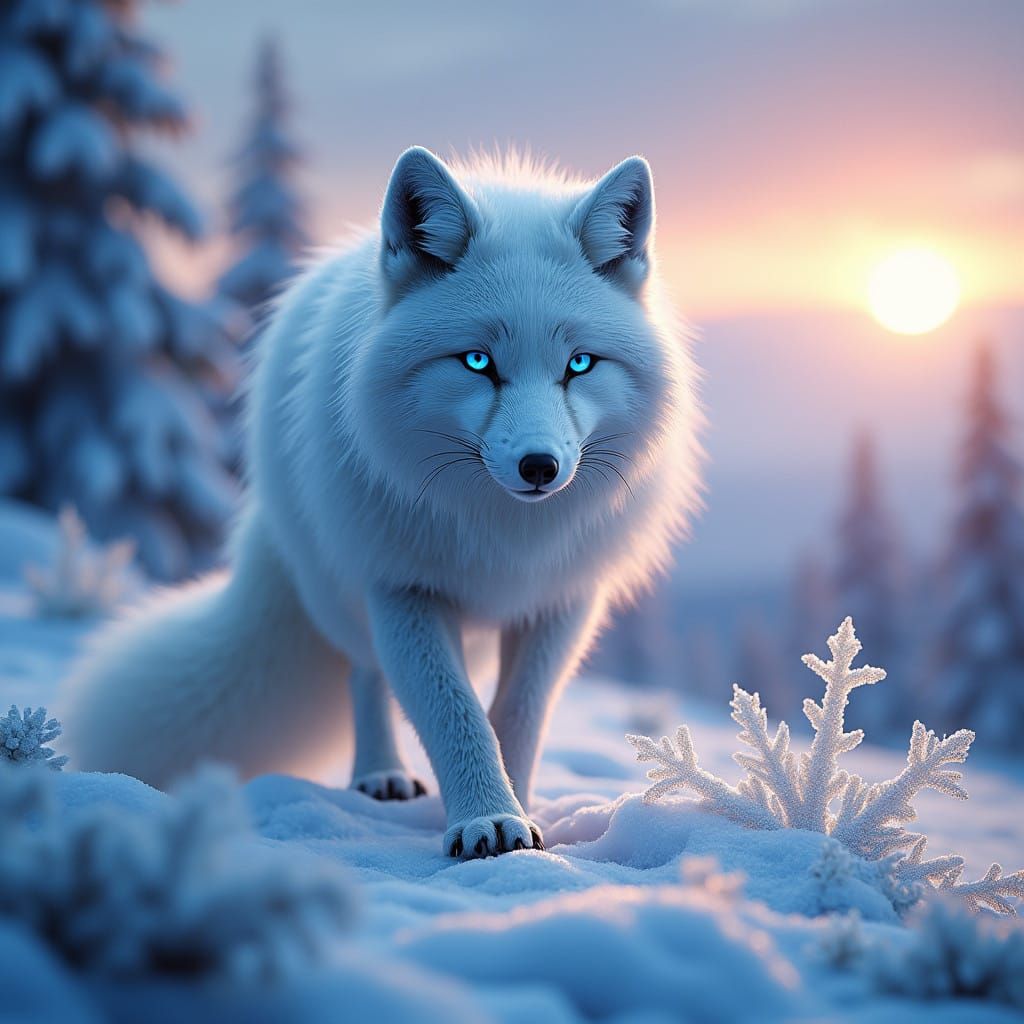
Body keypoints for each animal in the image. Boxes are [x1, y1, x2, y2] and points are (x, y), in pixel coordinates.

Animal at [61, 147, 701, 858]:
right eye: (477, 362)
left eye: (581, 365)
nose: (540, 467)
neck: (503, 536)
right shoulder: (402, 587)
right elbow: (454, 713)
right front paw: (486, 819)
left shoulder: (560, 603)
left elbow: (516, 717)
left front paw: (522, 816)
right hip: (342, 591)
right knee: (365, 675)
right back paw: (380, 776)